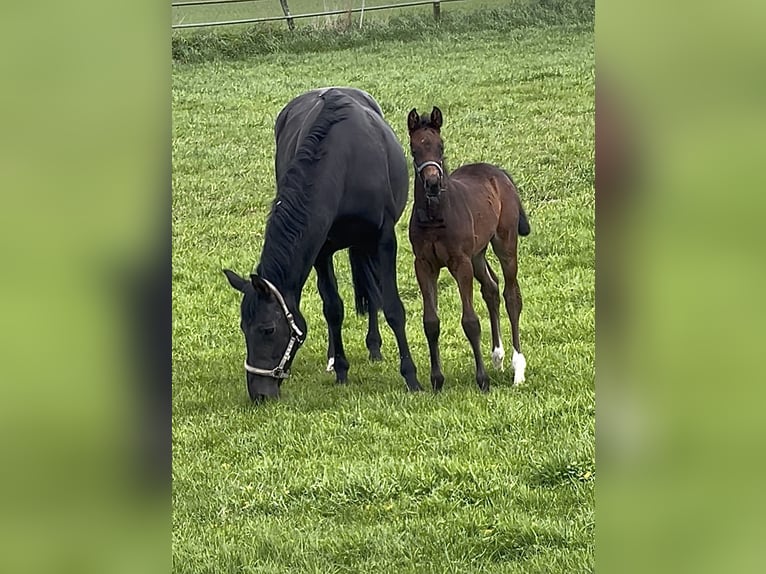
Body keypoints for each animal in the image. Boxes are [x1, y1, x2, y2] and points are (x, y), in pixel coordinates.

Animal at [222, 88, 426, 402]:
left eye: (268, 329)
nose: (259, 394)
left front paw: (411, 377)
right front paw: (341, 369)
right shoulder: (320, 250)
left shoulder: (384, 240)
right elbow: (333, 308)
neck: (345, 164)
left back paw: (374, 346)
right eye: (244, 329)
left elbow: (392, 307)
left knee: (372, 291)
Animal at [408, 107, 536, 396]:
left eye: (440, 146)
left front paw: (482, 380)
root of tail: (499, 172)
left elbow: (470, 322)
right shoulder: (424, 265)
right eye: (414, 149)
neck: (435, 216)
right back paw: (497, 357)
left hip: (504, 243)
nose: (432, 183)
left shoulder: (460, 263)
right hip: (478, 254)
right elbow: (430, 322)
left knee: (511, 295)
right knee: (491, 288)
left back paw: (517, 369)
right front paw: (437, 380)